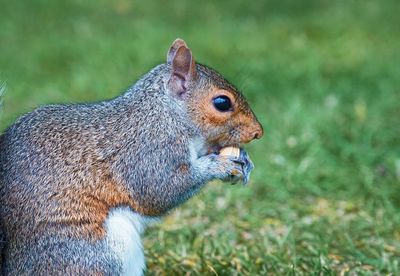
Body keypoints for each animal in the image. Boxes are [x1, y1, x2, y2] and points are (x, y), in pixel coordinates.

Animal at [0, 39, 262, 276]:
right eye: (222, 102)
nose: (258, 132)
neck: (166, 114)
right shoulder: (148, 151)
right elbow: (158, 190)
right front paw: (219, 165)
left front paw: (244, 159)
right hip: (91, 254)